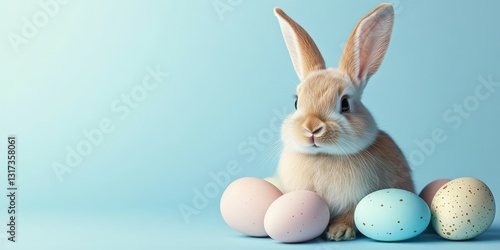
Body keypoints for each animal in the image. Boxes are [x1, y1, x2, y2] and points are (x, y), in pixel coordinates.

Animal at [274, 2, 414, 241]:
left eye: (345, 104)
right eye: (296, 102)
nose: (312, 128)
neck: (324, 156)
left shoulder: (357, 197)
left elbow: (350, 215)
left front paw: (339, 232)